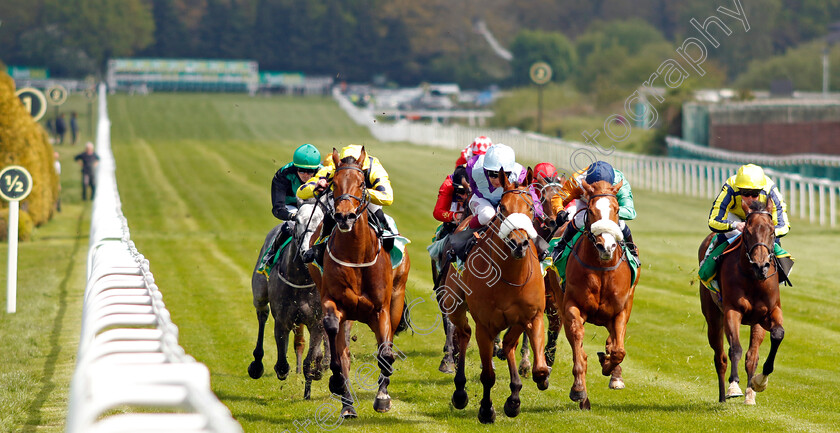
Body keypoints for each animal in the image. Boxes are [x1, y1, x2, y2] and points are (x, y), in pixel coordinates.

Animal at [310, 147, 412, 416]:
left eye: (361, 184)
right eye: (333, 183)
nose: (344, 216)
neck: (355, 254)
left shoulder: (381, 309)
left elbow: (385, 353)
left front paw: (383, 397)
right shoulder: (332, 301)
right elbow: (335, 340)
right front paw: (336, 382)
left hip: (397, 298)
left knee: (386, 344)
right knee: (343, 349)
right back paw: (347, 405)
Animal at [440, 167, 552, 424]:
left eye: (530, 207)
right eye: (503, 208)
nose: (519, 243)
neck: (510, 276)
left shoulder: (533, 316)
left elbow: (538, 367)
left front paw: (532, 385)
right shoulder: (485, 325)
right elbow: (488, 375)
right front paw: (486, 409)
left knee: (509, 344)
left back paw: (514, 395)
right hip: (455, 304)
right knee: (463, 333)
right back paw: (460, 391)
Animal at [556, 178, 640, 408]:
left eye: (617, 209)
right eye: (591, 211)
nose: (607, 246)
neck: (602, 269)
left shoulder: (621, 310)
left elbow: (619, 350)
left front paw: (609, 366)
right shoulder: (571, 306)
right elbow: (578, 346)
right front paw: (578, 390)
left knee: (615, 340)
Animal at [700, 199, 784, 404]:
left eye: (772, 231)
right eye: (747, 231)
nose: (761, 266)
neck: (753, 279)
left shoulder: (770, 312)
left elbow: (777, 334)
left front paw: (760, 382)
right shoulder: (733, 311)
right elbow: (735, 349)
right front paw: (733, 386)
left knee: (752, 356)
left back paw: (750, 394)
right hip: (713, 316)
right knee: (720, 357)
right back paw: (723, 396)